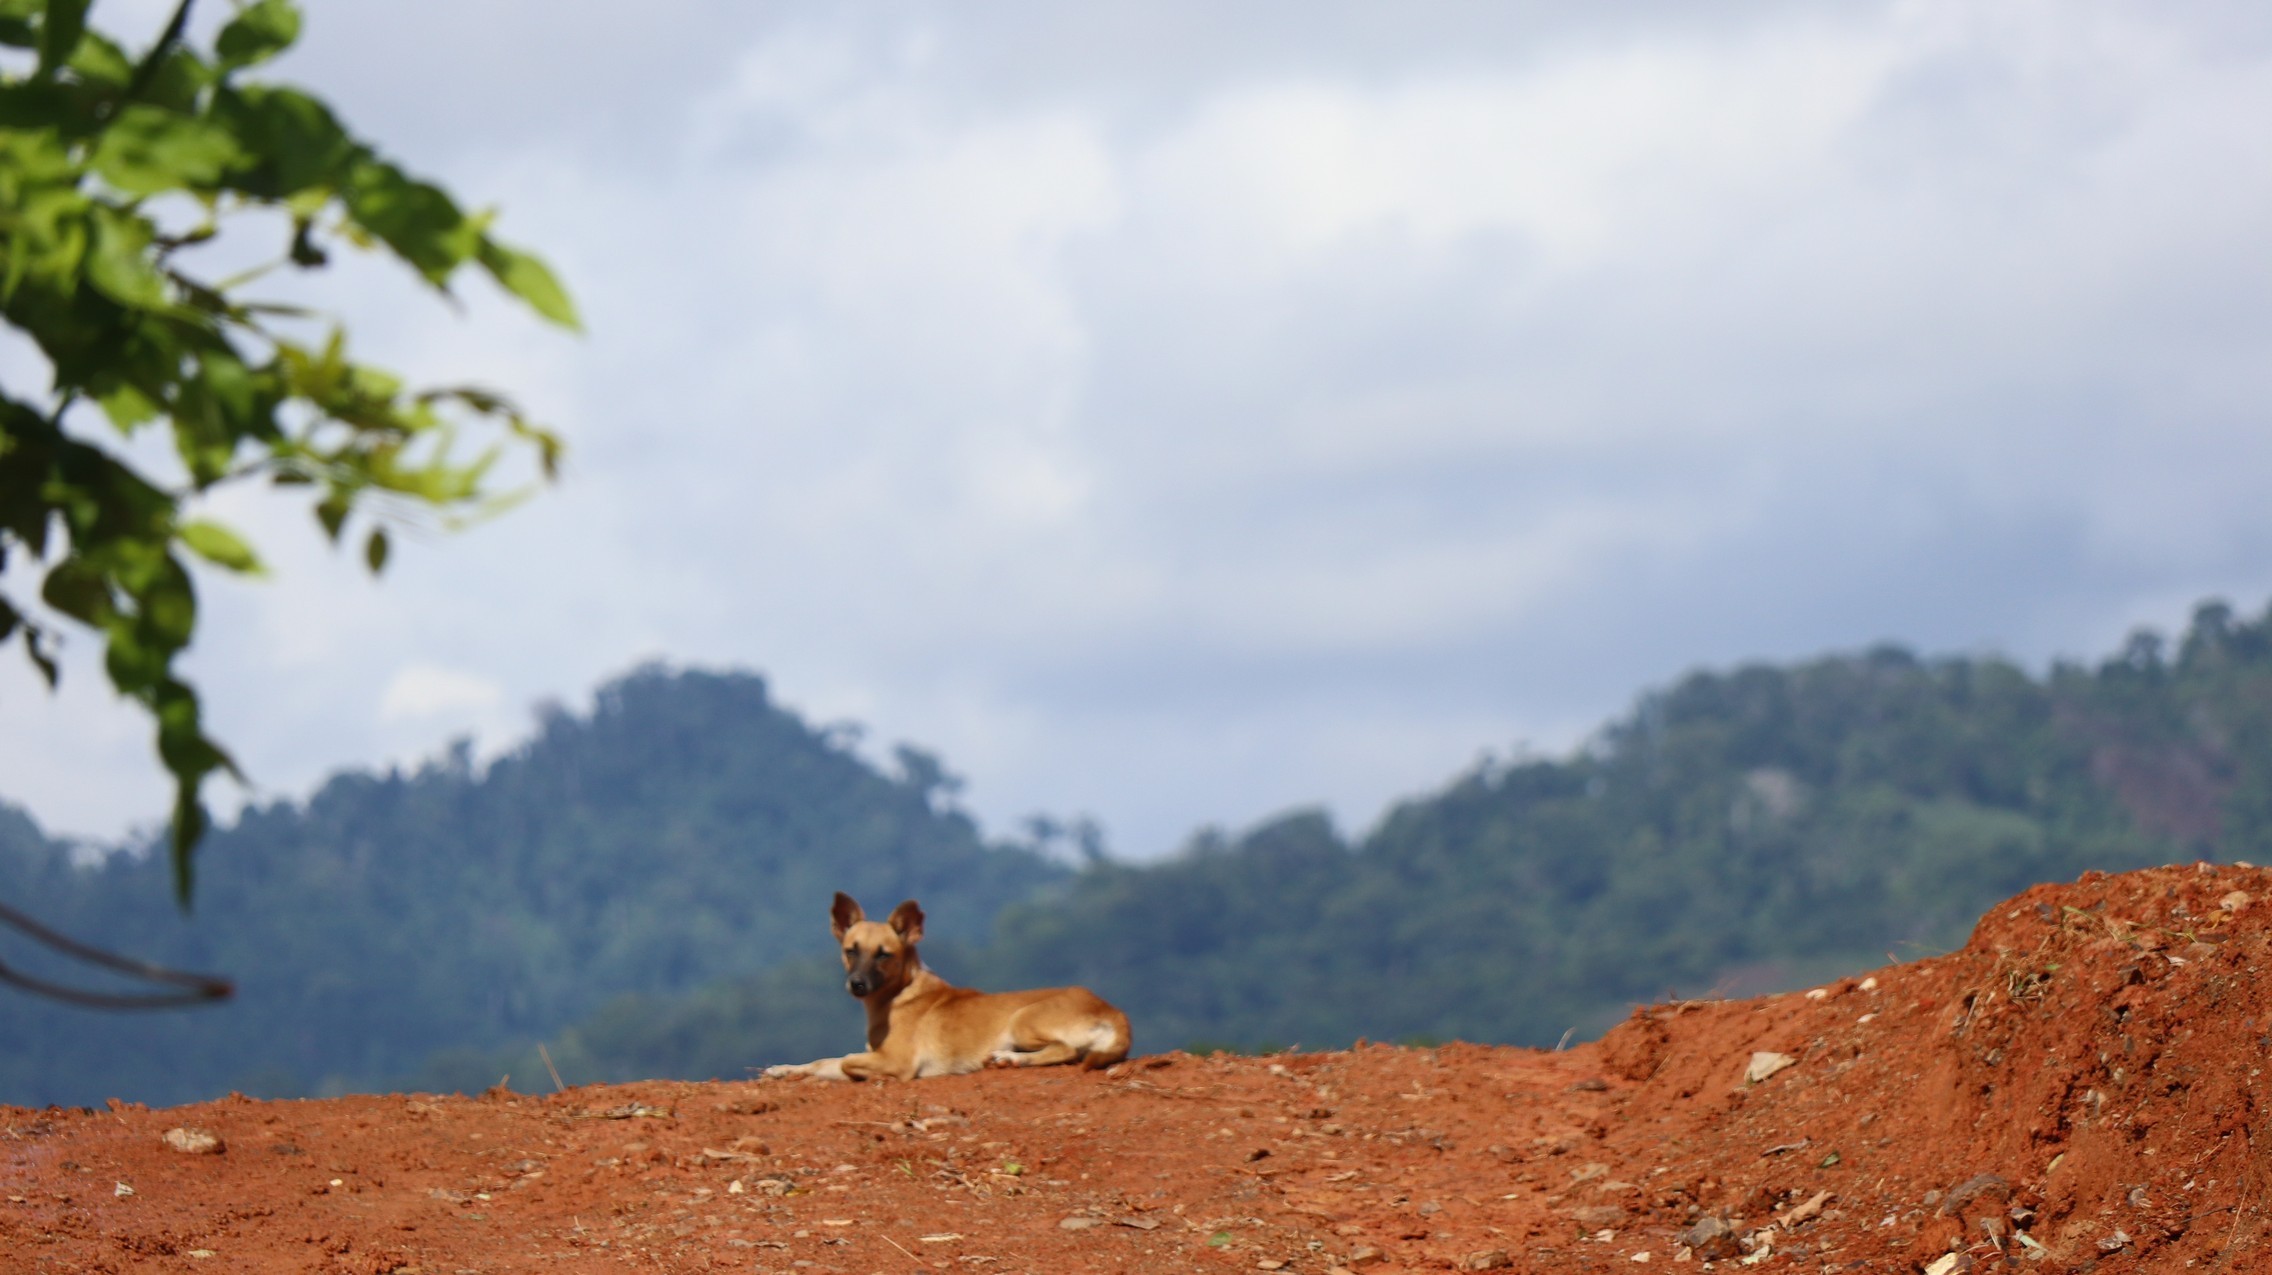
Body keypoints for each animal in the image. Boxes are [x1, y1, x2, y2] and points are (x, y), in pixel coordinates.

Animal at [761, 892, 1130, 1081]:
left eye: (884, 954)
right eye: (851, 950)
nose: (857, 985)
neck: (899, 995)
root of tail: (1115, 1012)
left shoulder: (897, 1060)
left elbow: (847, 1061)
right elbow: (823, 1061)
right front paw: (783, 1070)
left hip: (1022, 1020)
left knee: (1064, 1051)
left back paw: (1011, 1059)